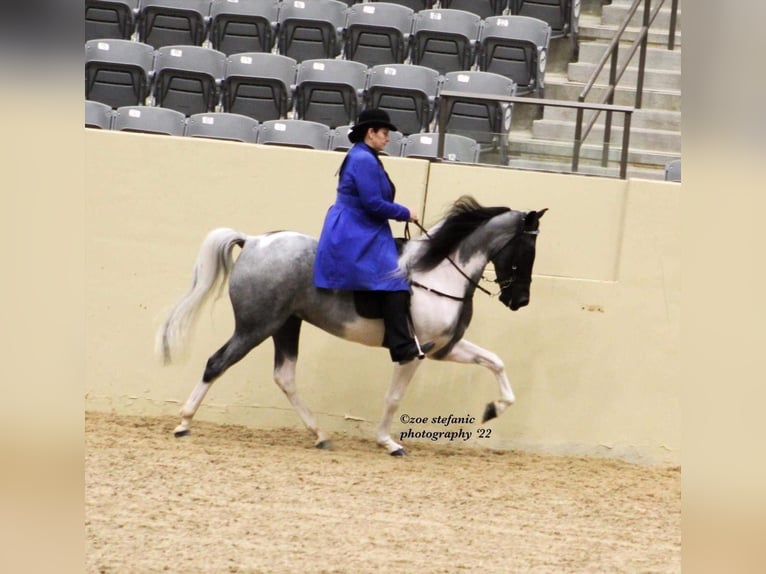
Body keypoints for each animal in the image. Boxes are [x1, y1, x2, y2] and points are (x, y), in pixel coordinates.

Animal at [159, 198, 544, 460]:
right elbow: (393, 398)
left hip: (285, 324)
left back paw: (319, 434)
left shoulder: (444, 348)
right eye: (527, 250)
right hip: (255, 326)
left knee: (284, 376)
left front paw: (494, 408)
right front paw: (388, 442)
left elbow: (495, 362)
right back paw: (183, 423)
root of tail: (254, 241)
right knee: (217, 363)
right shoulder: (415, 352)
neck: (439, 273)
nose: (521, 300)